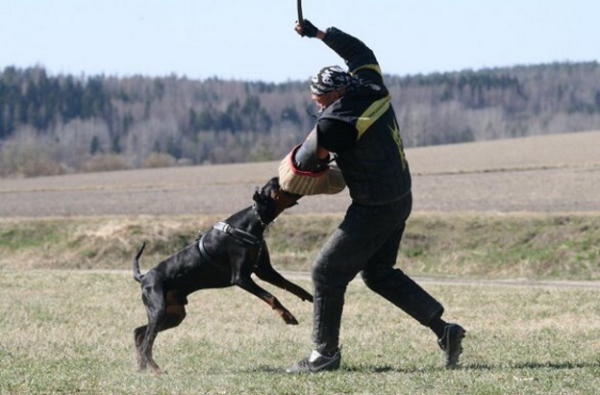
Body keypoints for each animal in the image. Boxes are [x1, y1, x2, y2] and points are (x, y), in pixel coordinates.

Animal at [133, 177, 312, 374]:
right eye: (276, 184)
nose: (281, 178)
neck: (251, 223)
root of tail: (144, 277)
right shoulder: (241, 278)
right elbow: (271, 297)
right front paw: (288, 316)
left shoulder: (265, 271)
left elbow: (294, 286)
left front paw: (313, 299)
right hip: (158, 309)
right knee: (147, 342)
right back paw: (156, 370)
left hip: (174, 314)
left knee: (139, 332)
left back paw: (141, 367)